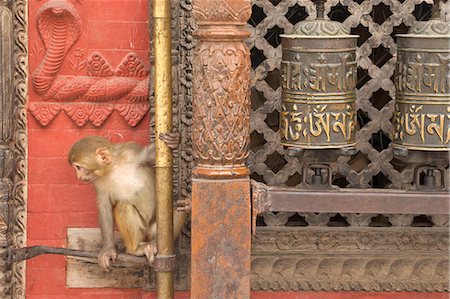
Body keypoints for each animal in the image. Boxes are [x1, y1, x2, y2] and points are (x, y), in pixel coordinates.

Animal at [67, 134, 186, 272]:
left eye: (79, 167)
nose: (79, 176)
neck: (113, 168)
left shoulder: (131, 151)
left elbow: (149, 154)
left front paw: (175, 141)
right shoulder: (99, 183)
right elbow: (104, 208)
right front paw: (108, 250)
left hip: (154, 229)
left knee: (178, 208)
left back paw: (158, 246)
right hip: (142, 232)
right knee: (124, 206)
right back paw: (136, 250)